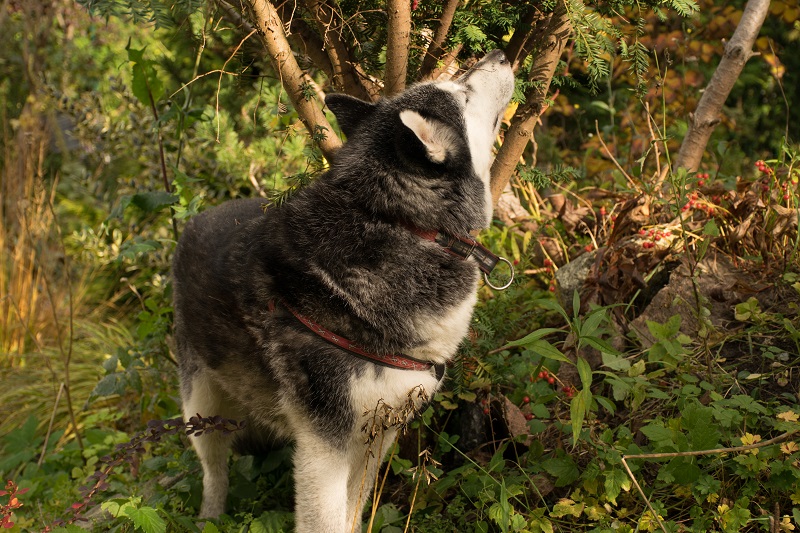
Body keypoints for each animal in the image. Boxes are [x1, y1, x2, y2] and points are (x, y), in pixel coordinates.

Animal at [172, 49, 515, 533]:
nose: (500, 54)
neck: (402, 224)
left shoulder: (377, 434)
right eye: (463, 94)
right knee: (213, 470)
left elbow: (354, 509)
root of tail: (195, 219)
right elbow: (327, 518)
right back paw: (210, 515)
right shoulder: (324, 443)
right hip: (201, 408)